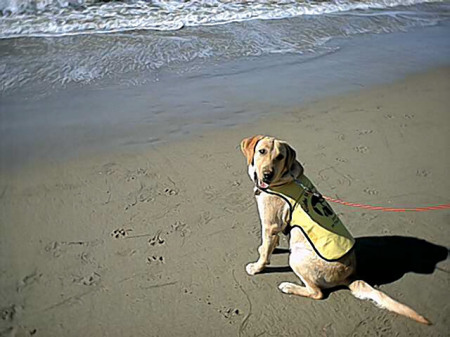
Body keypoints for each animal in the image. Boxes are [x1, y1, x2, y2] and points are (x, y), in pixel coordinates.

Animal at [241, 135, 430, 322]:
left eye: (280, 157)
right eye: (262, 151)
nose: (267, 175)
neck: (282, 179)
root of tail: (350, 275)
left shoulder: (270, 225)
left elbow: (265, 254)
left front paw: (256, 268)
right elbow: (268, 246)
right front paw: (266, 249)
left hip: (297, 257)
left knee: (317, 293)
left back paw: (289, 287)